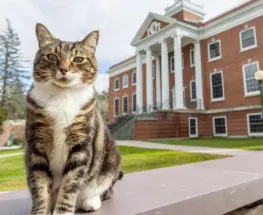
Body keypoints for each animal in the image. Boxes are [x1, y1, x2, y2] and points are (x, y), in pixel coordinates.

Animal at [24, 23, 123, 215]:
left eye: (78, 59)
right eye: (52, 56)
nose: (64, 69)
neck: (62, 96)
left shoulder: (81, 145)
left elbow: (70, 184)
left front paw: (62, 211)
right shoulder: (36, 145)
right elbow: (39, 186)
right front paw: (40, 210)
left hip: (111, 160)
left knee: (105, 188)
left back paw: (90, 201)